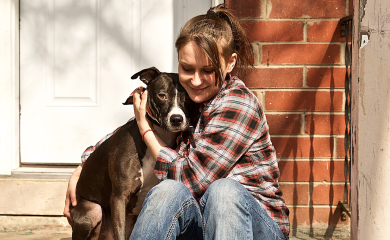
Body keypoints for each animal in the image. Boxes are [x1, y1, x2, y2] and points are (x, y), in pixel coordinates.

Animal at [71, 66, 192, 239]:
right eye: (162, 95)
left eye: (187, 98)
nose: (177, 119)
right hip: (92, 211)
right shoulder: (119, 197)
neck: (159, 136)